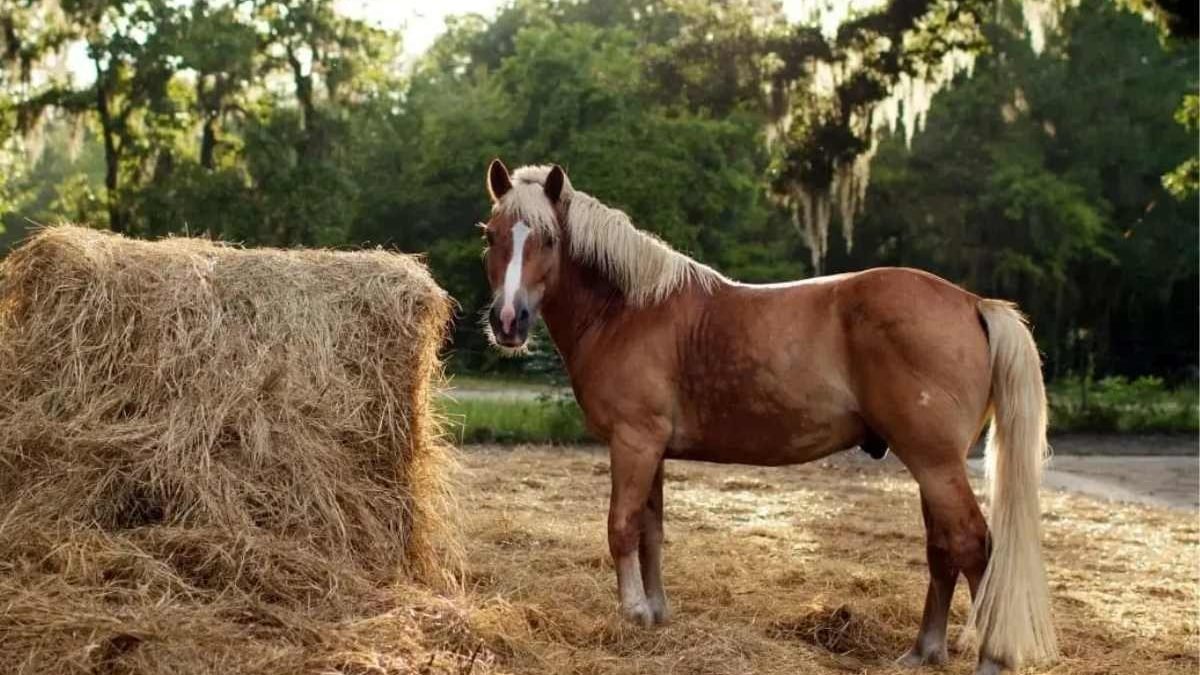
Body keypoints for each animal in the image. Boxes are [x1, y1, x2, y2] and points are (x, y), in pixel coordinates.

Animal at [477, 159, 1057, 675]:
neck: (629, 310)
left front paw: (634, 611)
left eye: (549, 240)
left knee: (973, 545)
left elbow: (622, 527)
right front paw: (658, 612)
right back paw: (923, 652)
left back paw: (990, 659)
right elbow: (651, 530)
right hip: (932, 464)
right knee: (944, 549)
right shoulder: (651, 449)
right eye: (492, 237)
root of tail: (972, 303)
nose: (508, 321)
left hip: (935, 462)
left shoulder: (633, 441)